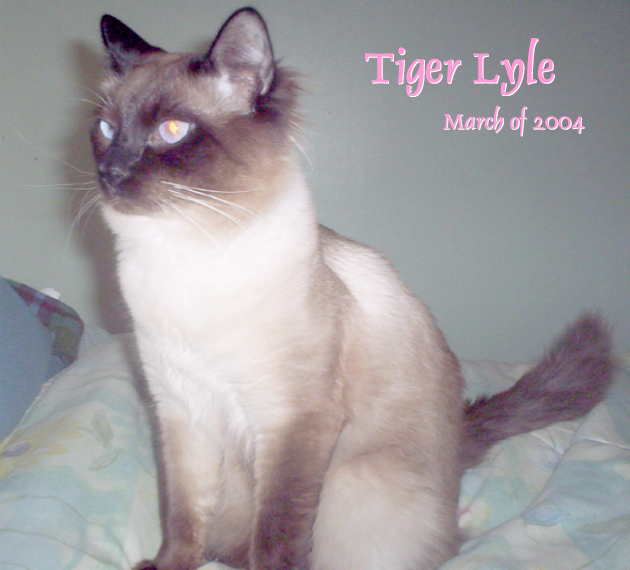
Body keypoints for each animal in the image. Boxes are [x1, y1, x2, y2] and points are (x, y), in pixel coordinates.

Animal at [91, 8, 613, 570]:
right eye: (105, 128)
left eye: (172, 131)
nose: (109, 172)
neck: (182, 253)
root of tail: (458, 444)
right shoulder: (181, 412)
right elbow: (183, 515)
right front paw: (166, 565)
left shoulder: (292, 422)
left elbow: (276, 536)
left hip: (352, 483)